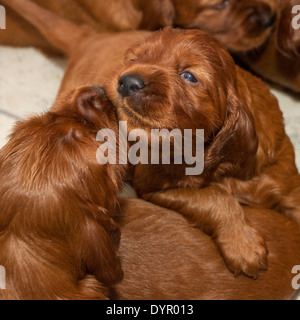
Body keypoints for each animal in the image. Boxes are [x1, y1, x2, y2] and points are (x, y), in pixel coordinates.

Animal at [107, 26, 300, 278]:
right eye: (134, 59)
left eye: (189, 76)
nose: (127, 81)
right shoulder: (154, 186)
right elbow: (214, 196)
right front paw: (243, 244)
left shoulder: (286, 182)